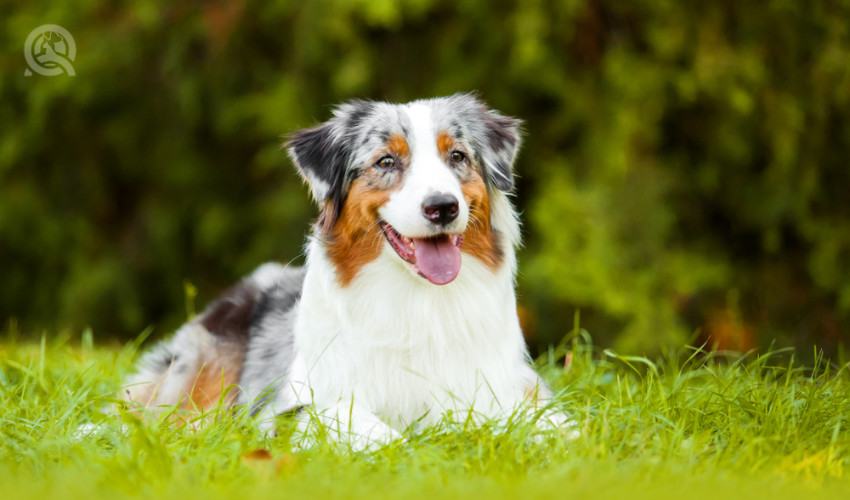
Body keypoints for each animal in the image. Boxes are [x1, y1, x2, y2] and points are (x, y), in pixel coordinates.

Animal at [121, 94, 568, 450]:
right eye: (386, 161)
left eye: (456, 156)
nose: (442, 206)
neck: (418, 299)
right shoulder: (302, 405)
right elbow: (387, 436)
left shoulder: (513, 386)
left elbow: (558, 426)